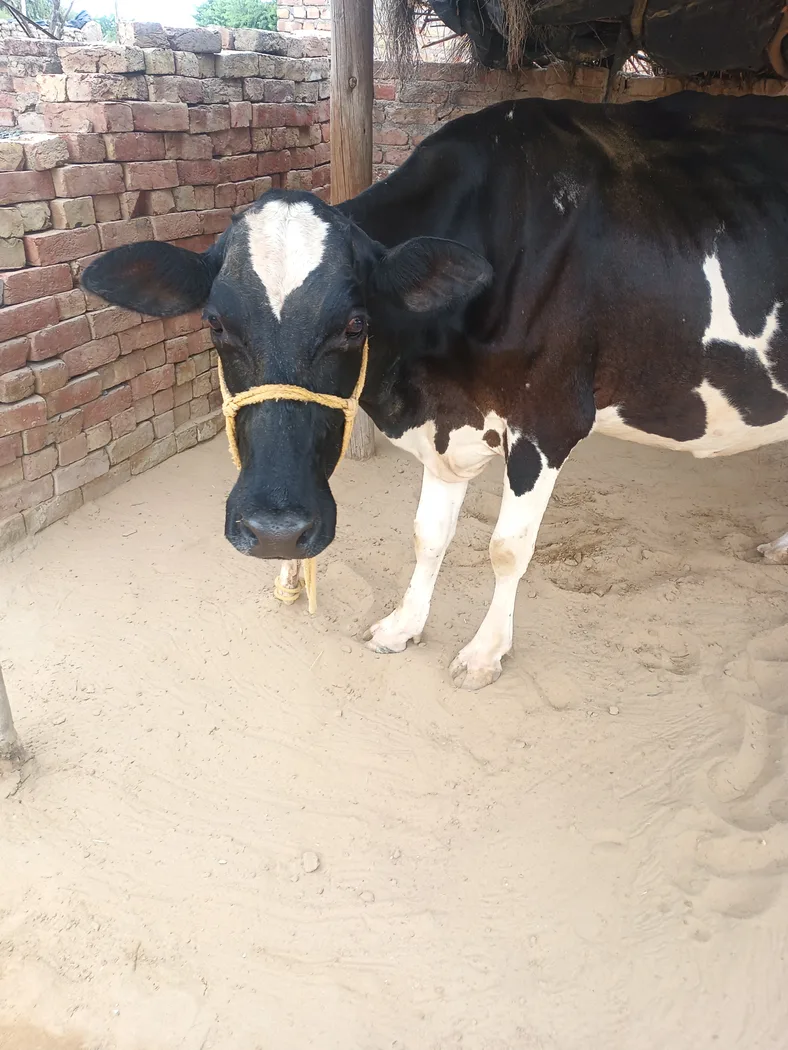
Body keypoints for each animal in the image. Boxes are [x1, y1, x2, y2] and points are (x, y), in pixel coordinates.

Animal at [82, 91, 788, 690]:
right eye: (215, 323)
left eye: (355, 323)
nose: (277, 531)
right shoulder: (449, 423)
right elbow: (428, 533)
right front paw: (404, 625)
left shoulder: (551, 419)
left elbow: (506, 549)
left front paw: (485, 652)